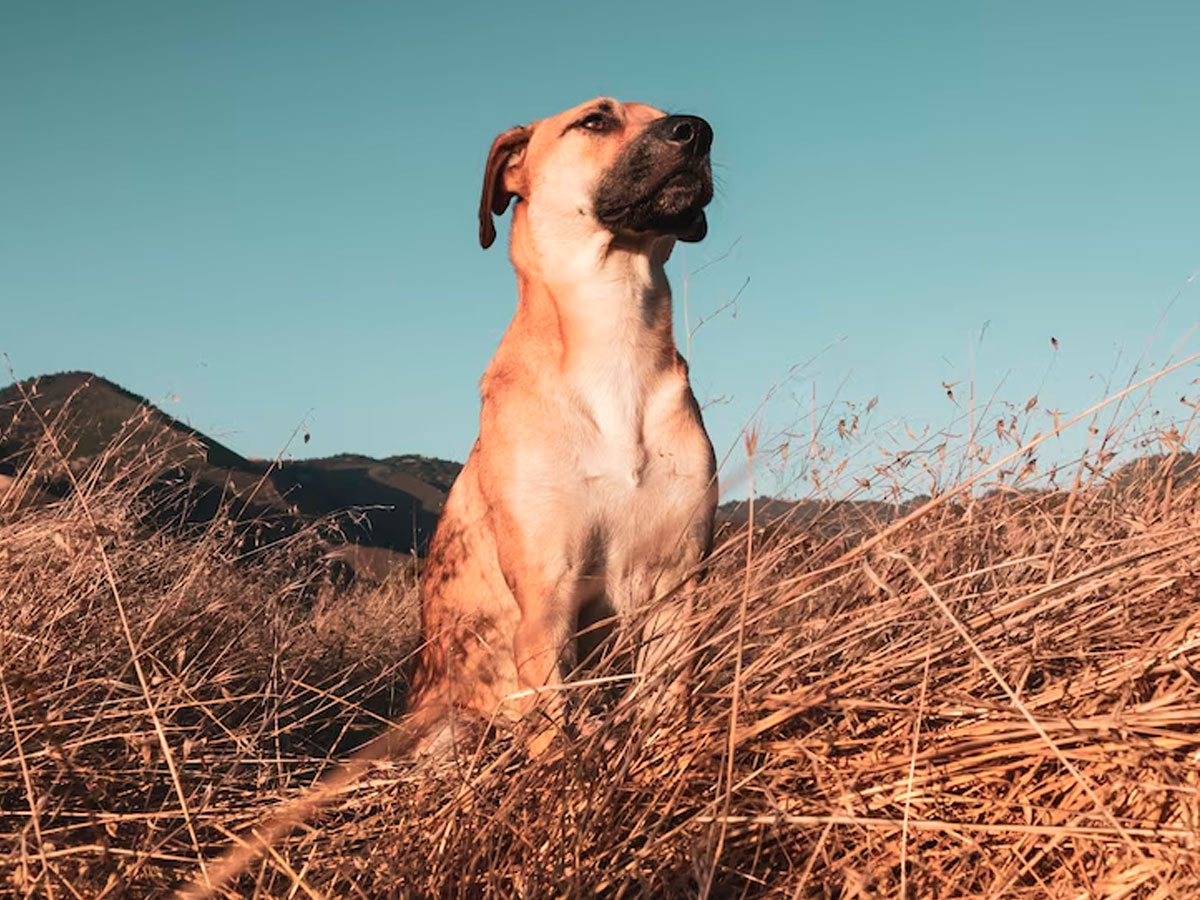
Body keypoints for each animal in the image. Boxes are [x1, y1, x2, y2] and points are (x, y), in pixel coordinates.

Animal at [408, 95, 715, 734]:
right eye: (595, 119)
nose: (698, 131)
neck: (615, 330)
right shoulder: (547, 601)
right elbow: (556, 734)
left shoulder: (676, 588)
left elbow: (665, 708)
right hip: (448, 726)